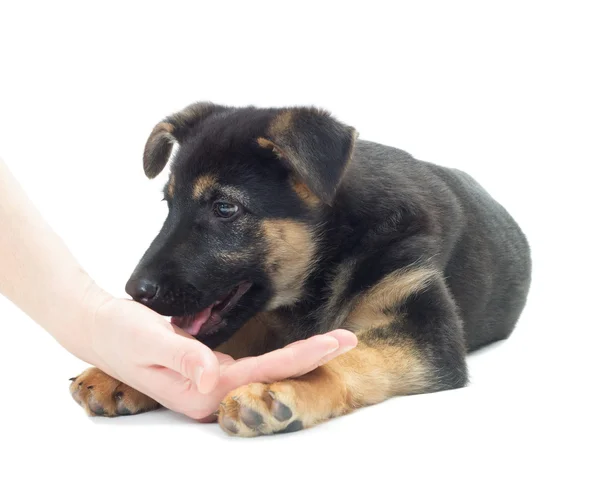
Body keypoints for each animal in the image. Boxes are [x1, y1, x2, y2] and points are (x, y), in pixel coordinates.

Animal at [68, 103, 532, 438]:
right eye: (169, 204)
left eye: (225, 208)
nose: (136, 291)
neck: (338, 247)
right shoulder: (262, 317)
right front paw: (119, 374)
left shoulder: (425, 326)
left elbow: (340, 354)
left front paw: (281, 388)